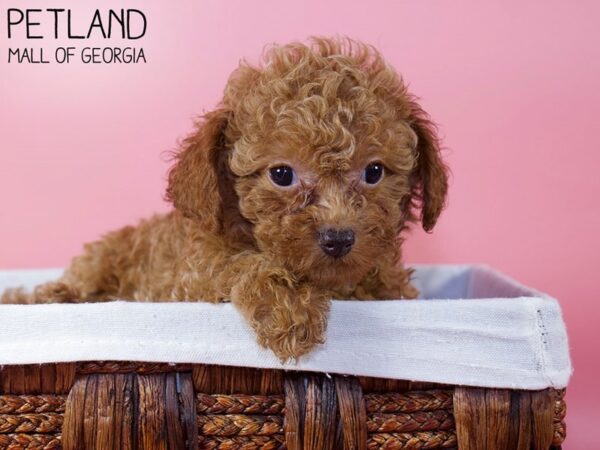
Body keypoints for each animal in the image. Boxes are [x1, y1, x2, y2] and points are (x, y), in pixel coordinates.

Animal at [2, 37, 448, 362]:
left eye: (374, 173)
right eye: (281, 175)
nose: (338, 238)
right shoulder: (189, 280)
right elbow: (238, 263)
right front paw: (290, 310)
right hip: (99, 261)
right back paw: (51, 296)